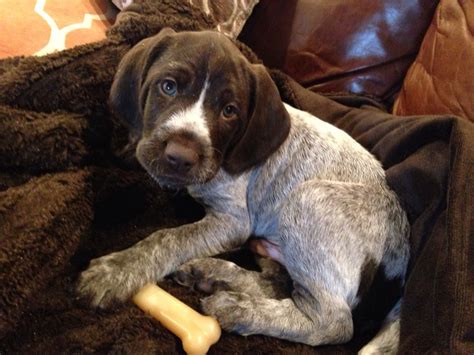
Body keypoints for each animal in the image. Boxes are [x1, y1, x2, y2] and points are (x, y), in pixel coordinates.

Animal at [76, 28, 410, 354]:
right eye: (168, 87)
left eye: (229, 111)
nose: (180, 157)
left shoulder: (233, 221)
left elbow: (169, 237)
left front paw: (117, 271)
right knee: (280, 284)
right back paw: (214, 275)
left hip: (308, 199)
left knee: (332, 322)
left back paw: (238, 309)